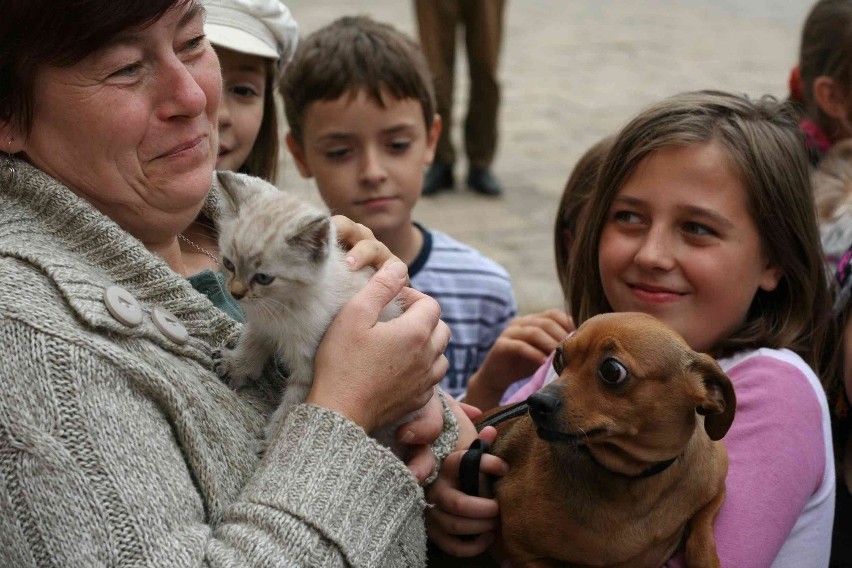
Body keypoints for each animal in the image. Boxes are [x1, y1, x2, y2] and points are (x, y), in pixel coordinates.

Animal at [215, 171, 412, 450]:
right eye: (229, 263)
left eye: (263, 278)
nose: (236, 292)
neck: (283, 306)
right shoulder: (263, 326)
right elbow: (252, 343)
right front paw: (237, 365)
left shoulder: (308, 366)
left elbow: (292, 406)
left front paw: (275, 442)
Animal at [472, 312, 732, 564]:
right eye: (559, 357)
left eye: (612, 371)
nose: (535, 402)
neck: (639, 476)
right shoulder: (522, 552)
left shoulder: (716, 489)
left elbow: (702, 527)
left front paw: (705, 558)